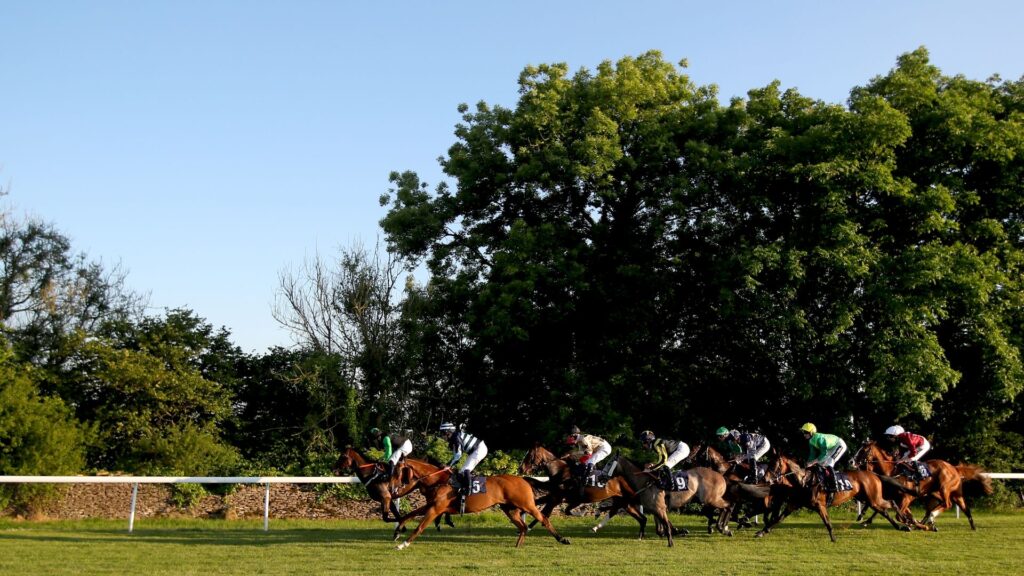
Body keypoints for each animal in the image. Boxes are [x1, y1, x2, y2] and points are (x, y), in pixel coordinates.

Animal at [387, 453, 573, 545]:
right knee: (523, 526)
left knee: (543, 519)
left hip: (527, 505)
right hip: (510, 509)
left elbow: (419, 527)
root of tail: (524, 480)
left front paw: (403, 544)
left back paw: (562, 539)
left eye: (397, 472)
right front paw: (397, 533)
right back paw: (518, 546)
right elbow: (408, 515)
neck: (438, 480)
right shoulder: (431, 505)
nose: (391, 488)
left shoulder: (436, 508)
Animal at [606, 453, 737, 541]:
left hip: (710, 499)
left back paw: (723, 528)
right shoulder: (656, 508)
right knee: (726, 506)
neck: (645, 481)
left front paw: (678, 531)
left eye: (609, 463)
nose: (602, 475)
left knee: (728, 506)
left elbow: (664, 524)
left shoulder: (660, 507)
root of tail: (720, 476)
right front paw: (676, 531)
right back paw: (722, 527)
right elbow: (661, 527)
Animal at [753, 461, 913, 541]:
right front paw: (761, 532)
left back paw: (905, 523)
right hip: (867, 498)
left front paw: (833, 537)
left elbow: (827, 522)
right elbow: (777, 519)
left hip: (873, 498)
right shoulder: (793, 504)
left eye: (773, 465)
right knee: (885, 509)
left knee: (890, 504)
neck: (805, 481)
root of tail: (874, 474)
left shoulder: (820, 505)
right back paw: (901, 525)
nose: (764, 479)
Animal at [847, 438, 991, 528]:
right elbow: (890, 510)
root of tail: (954, 468)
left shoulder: (907, 498)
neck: (892, 471)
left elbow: (899, 514)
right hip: (948, 492)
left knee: (947, 504)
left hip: (944, 488)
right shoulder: (895, 497)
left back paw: (931, 519)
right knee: (963, 507)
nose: (851, 461)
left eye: (863, 450)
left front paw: (911, 523)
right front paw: (864, 518)